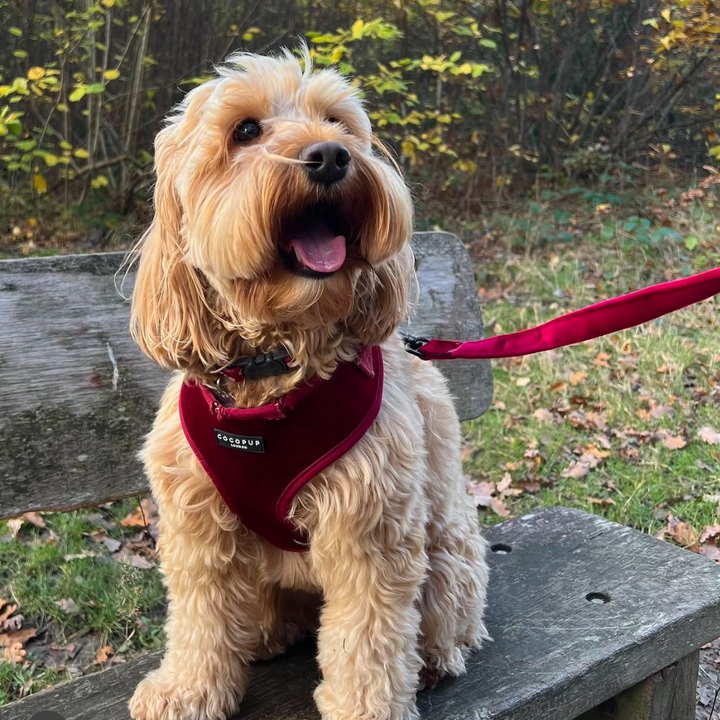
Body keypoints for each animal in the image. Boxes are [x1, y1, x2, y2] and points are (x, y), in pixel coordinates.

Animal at [129, 49, 490, 720]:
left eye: (337, 122)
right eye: (245, 130)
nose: (330, 155)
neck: (276, 366)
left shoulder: (371, 525)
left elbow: (367, 639)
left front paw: (365, 707)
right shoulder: (197, 522)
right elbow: (199, 616)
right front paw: (188, 689)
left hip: (448, 554)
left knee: (443, 620)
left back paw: (433, 660)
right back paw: (264, 634)